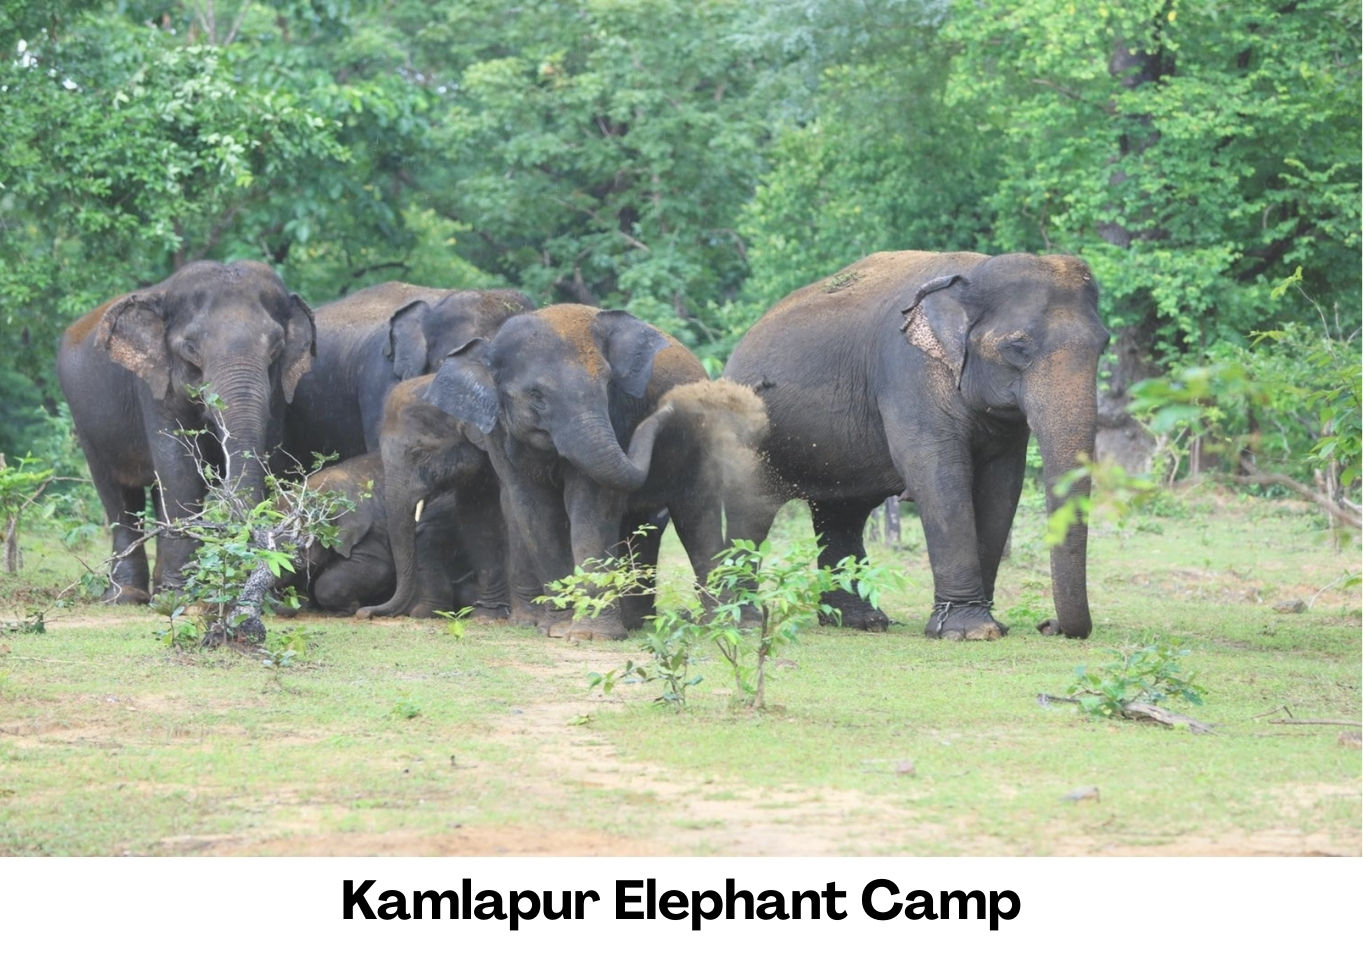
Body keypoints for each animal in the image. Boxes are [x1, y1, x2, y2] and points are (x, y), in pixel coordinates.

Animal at [57, 260, 316, 603]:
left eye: (276, 348)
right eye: (190, 349)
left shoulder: (277, 393)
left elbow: (270, 455)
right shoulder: (154, 385)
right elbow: (180, 472)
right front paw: (181, 595)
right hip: (85, 421)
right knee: (118, 496)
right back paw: (127, 596)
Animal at [427, 303, 770, 640]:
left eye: (607, 385)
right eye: (536, 395)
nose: (670, 407)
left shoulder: (617, 414)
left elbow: (591, 506)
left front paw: (588, 635)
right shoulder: (497, 434)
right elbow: (535, 512)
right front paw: (557, 628)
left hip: (697, 450)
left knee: (695, 517)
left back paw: (717, 624)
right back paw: (634, 624)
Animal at [722, 250, 1109, 640]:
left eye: (1104, 344)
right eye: (1017, 346)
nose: (1048, 625)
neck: (971, 276)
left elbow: (1001, 486)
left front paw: (990, 626)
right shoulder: (908, 373)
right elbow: (937, 475)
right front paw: (970, 632)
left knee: (841, 513)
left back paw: (862, 621)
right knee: (751, 512)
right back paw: (744, 622)